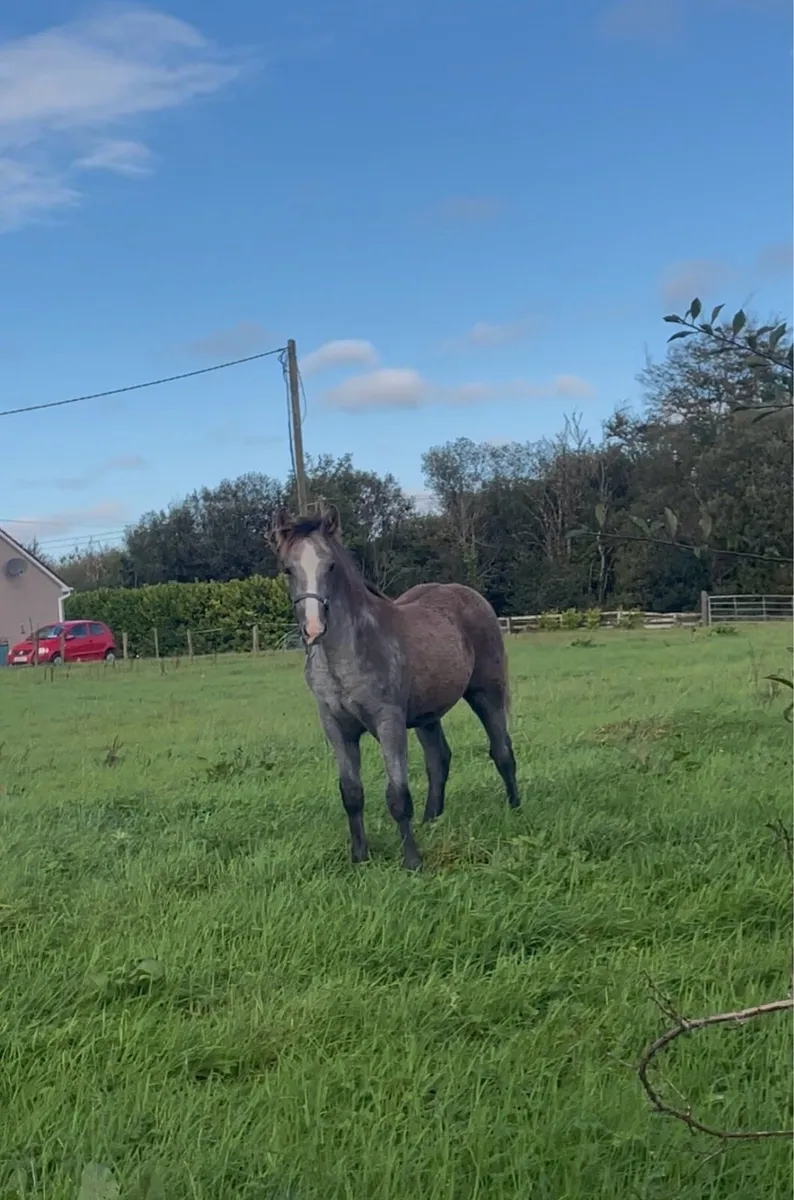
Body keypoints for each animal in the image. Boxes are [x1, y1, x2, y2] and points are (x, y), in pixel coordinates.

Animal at [272, 505, 519, 870]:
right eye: (288, 569)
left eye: (330, 566)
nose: (314, 628)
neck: (345, 657)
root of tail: (470, 595)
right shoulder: (336, 727)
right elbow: (351, 793)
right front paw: (359, 857)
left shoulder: (389, 723)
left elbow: (398, 794)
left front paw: (412, 861)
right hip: (428, 715)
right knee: (438, 759)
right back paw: (431, 819)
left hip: (487, 693)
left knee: (501, 750)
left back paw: (516, 808)